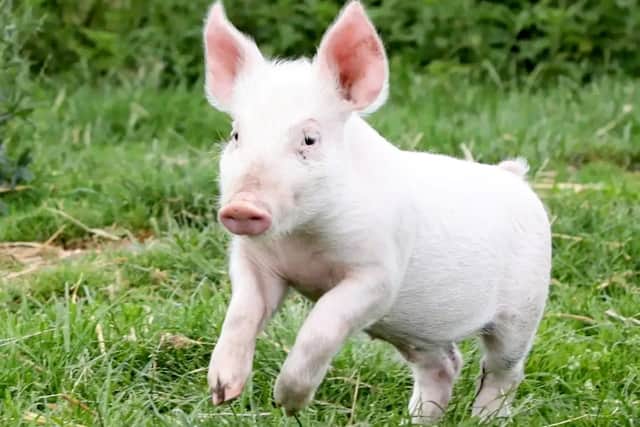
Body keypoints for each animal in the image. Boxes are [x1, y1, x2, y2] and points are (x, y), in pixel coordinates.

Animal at [202, 1, 551, 423]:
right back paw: (416, 420)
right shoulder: (254, 262)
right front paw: (222, 391)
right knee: (445, 364)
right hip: (417, 330)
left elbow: (322, 325)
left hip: (524, 306)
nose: (241, 207)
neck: (302, 241)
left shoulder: (379, 275)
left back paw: (483, 417)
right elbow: (242, 311)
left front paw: (286, 402)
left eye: (309, 139)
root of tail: (514, 176)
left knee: (504, 370)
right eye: (236, 135)